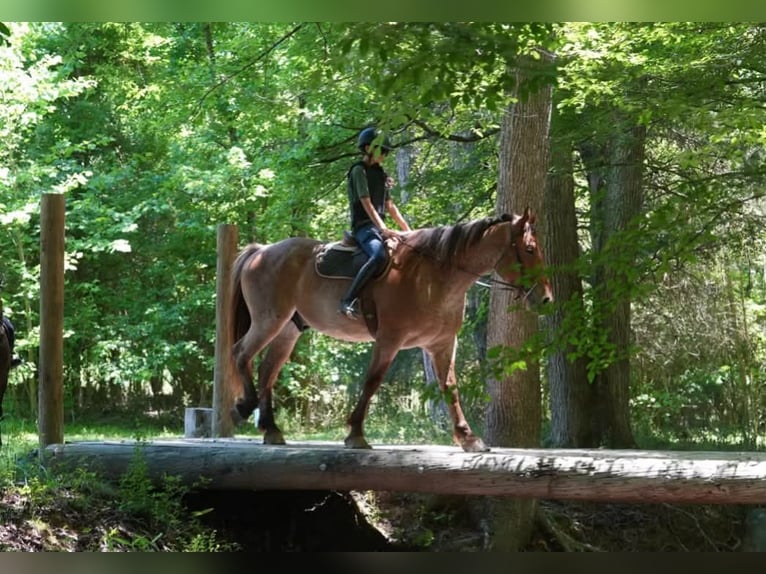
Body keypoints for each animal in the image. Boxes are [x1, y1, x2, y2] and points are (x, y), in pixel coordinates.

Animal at [229, 209, 553, 452]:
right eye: (529, 249)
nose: (546, 298)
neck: (435, 277)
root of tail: (261, 250)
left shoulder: (443, 344)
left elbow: (450, 387)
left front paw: (468, 437)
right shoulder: (389, 339)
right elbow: (373, 381)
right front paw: (356, 433)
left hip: (287, 330)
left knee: (267, 371)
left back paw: (271, 428)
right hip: (268, 321)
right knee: (240, 354)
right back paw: (244, 406)